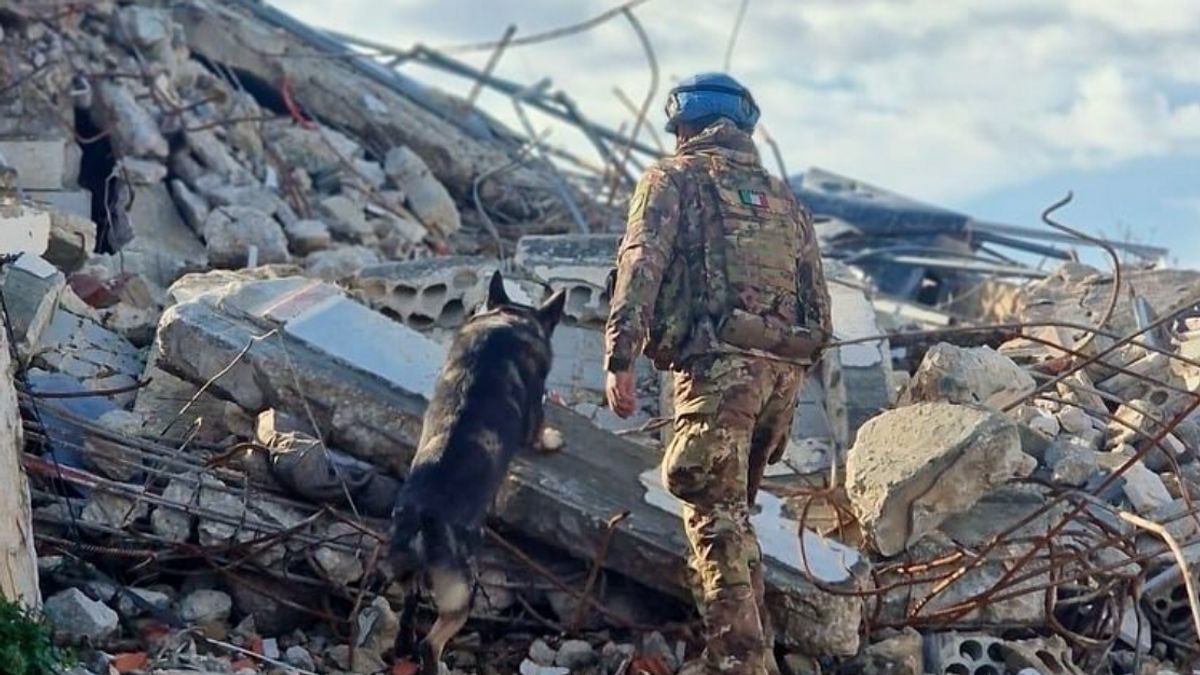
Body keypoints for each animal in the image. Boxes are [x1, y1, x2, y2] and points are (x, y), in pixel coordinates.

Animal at [388, 270, 566, 667]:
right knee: (432, 642)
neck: (508, 319)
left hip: (409, 579)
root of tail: (422, 518)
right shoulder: (536, 408)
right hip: (462, 593)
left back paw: (402, 648)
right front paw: (552, 439)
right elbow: (540, 431)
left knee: (408, 613)